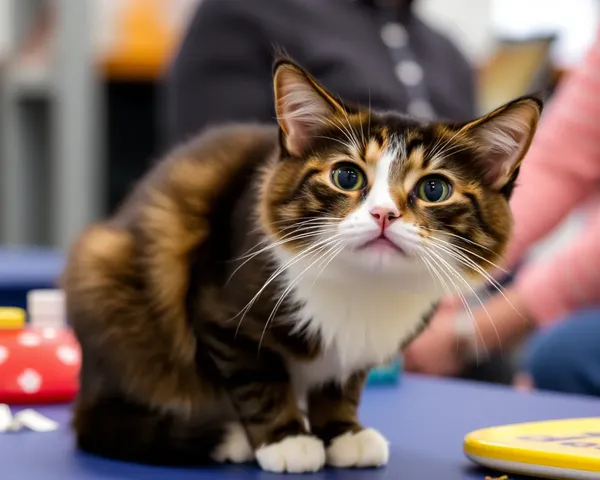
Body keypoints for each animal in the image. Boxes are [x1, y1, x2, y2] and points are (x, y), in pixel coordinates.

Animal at [62, 57, 544, 472]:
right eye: (347, 176)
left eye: (434, 189)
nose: (383, 214)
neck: (365, 286)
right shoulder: (222, 316)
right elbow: (258, 378)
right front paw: (287, 439)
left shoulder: (360, 347)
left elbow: (344, 381)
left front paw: (342, 432)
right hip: (107, 276)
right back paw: (226, 437)